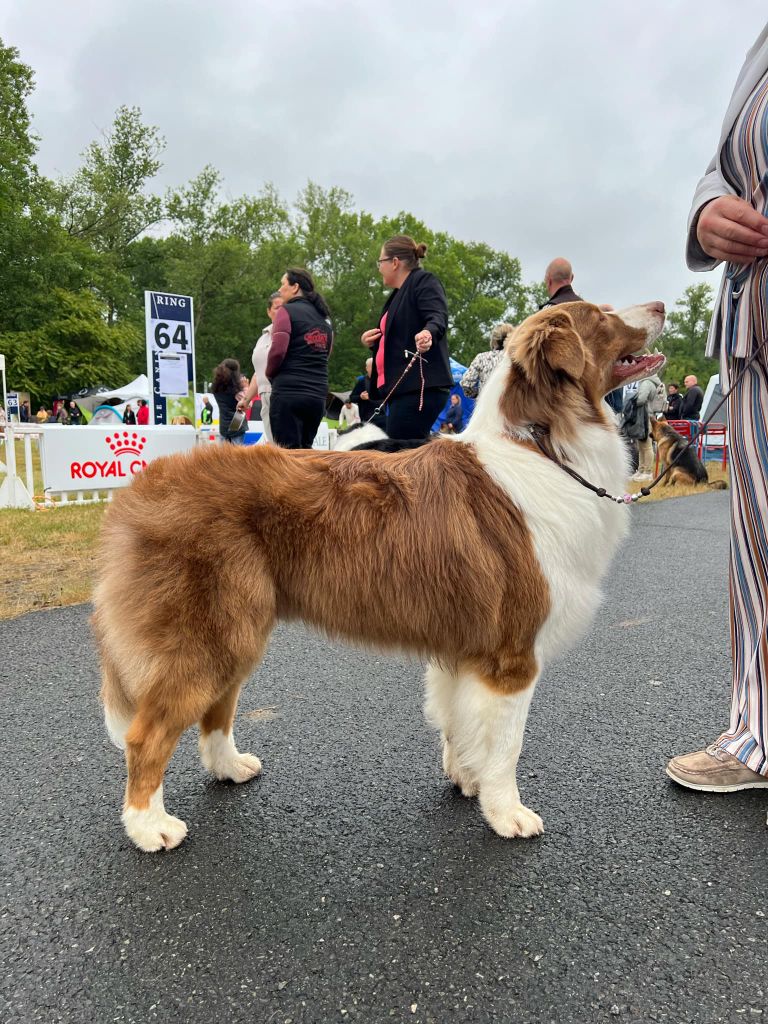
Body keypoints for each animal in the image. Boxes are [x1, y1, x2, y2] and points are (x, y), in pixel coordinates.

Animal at [91, 299, 667, 851]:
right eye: (601, 317)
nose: (661, 307)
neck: (541, 444)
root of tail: (140, 489)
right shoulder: (511, 652)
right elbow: (507, 745)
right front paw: (508, 815)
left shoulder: (465, 645)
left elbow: (459, 724)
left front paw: (467, 781)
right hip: (210, 632)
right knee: (147, 734)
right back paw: (150, 827)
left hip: (237, 628)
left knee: (216, 707)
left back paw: (229, 767)